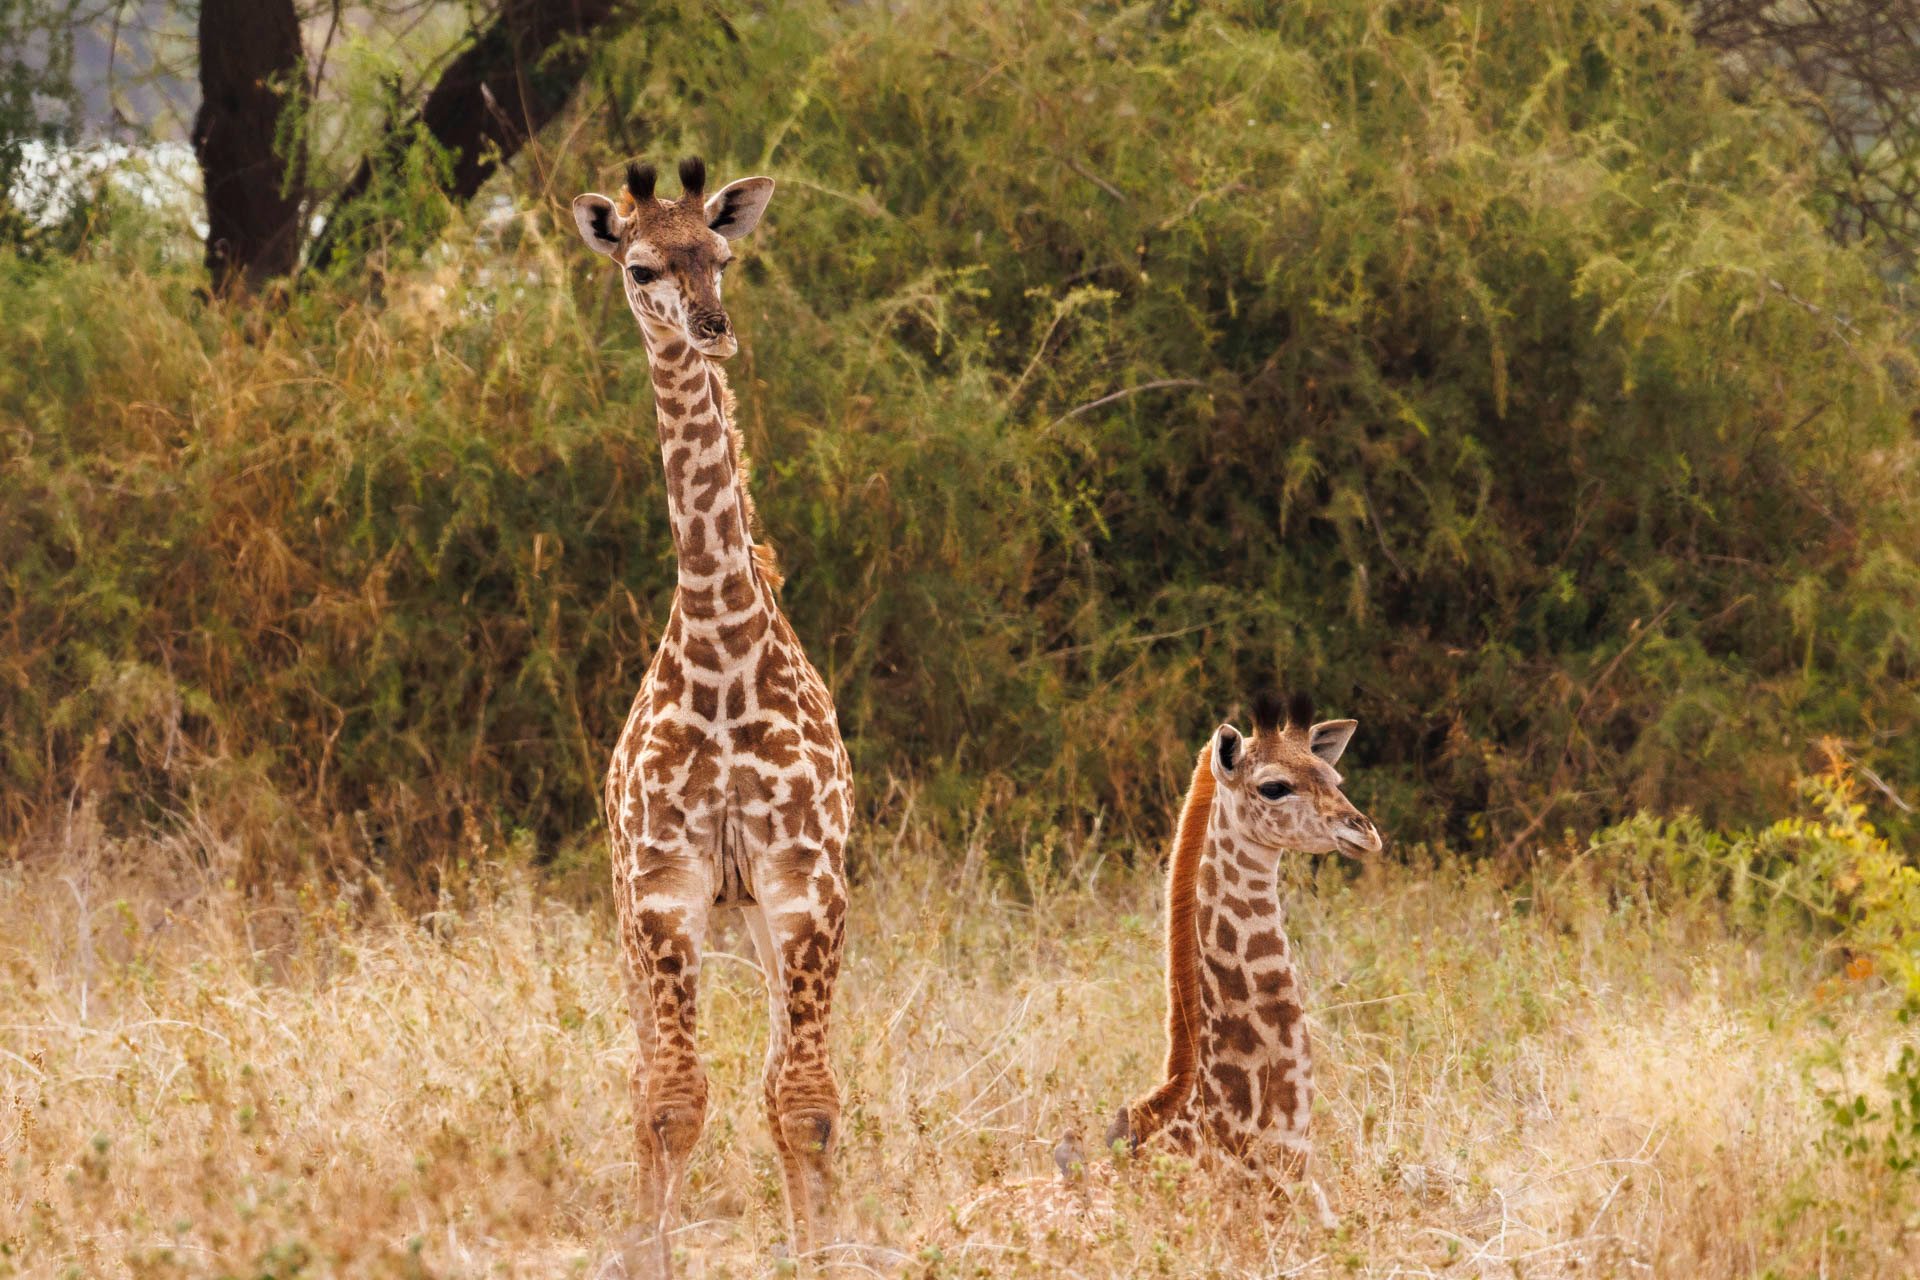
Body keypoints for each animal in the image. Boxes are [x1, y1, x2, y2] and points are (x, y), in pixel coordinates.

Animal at [568, 160, 856, 1274]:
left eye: (721, 255)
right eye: (641, 265)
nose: (712, 326)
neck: (725, 661)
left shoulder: (805, 883)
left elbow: (804, 1101)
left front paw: (822, 1250)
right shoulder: (662, 888)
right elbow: (670, 1100)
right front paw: (647, 1250)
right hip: (625, 916)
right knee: (643, 1067)